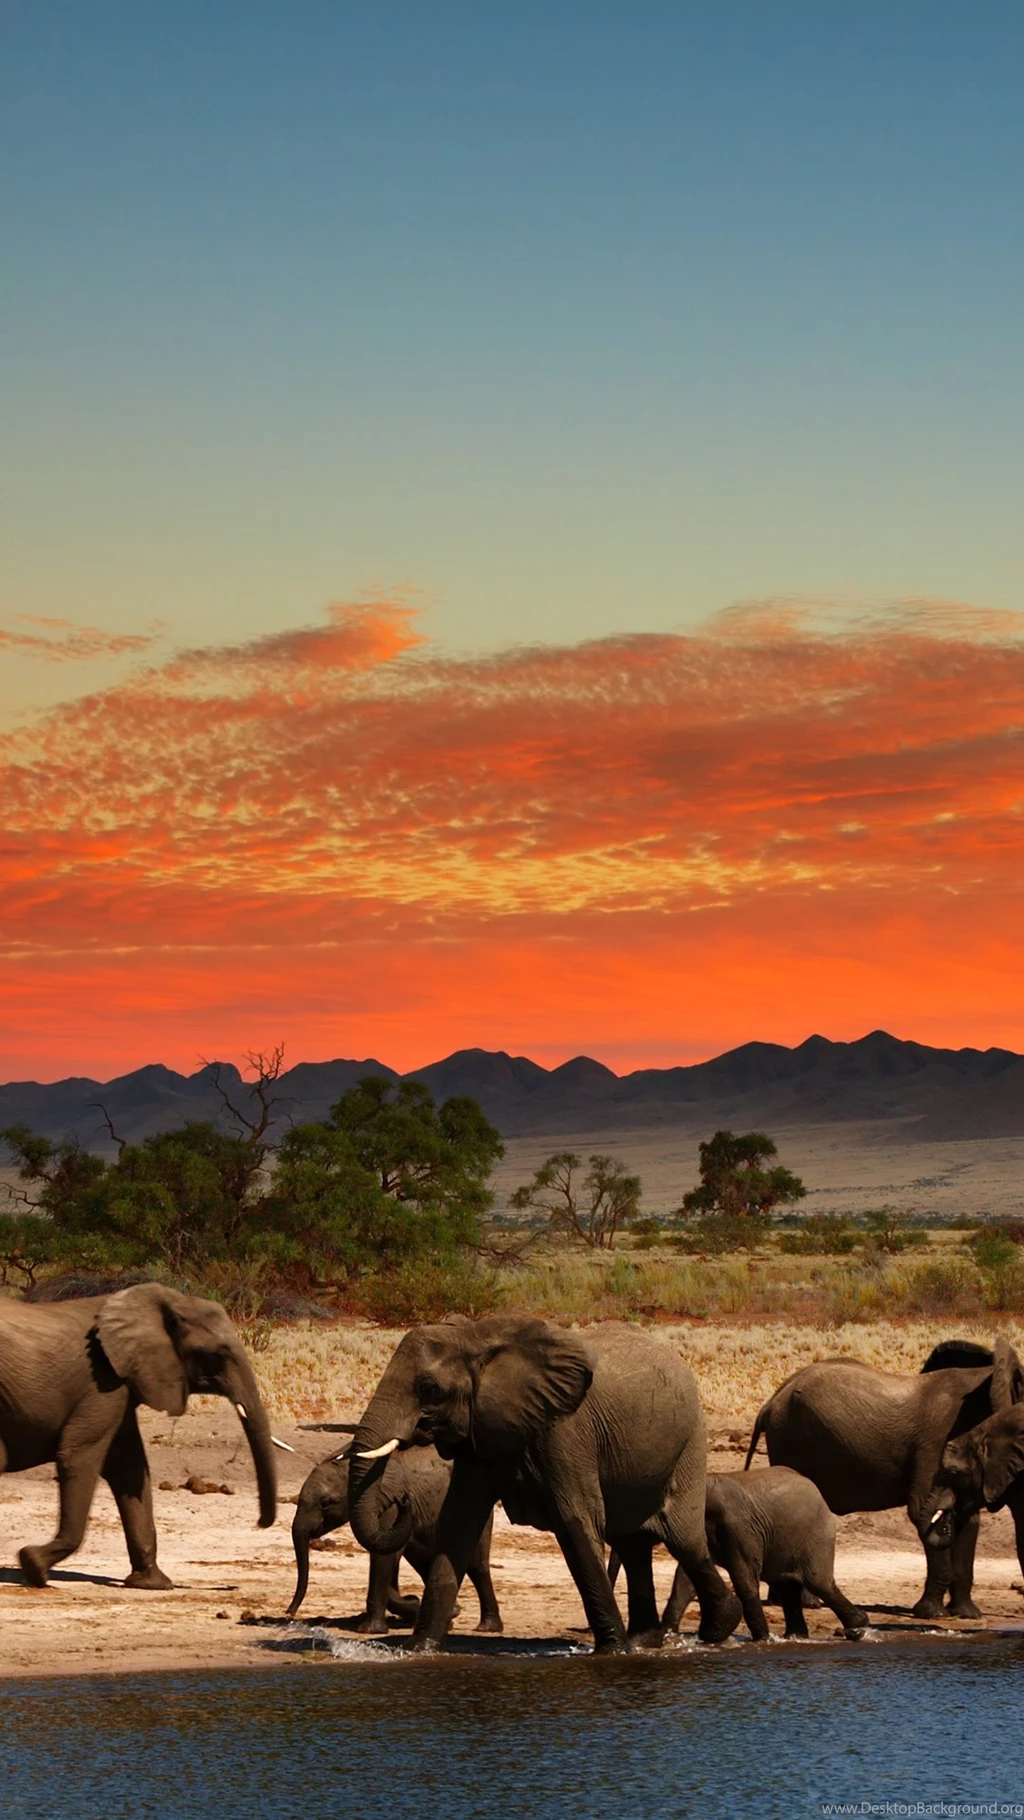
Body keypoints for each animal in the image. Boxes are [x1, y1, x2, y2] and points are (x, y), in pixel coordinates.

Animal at [0, 1282, 277, 1589]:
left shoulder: (122, 1383)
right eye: (217, 1355)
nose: (260, 1523)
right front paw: (33, 1565)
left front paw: (152, 1583)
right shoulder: (102, 1383)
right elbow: (78, 1456)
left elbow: (130, 1469)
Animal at [287, 1442, 503, 1634]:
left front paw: (371, 1630)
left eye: (325, 1503)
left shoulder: (387, 1506)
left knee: (476, 1566)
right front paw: (420, 1606)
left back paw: (486, 1627)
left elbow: (383, 1558)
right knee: (426, 1562)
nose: (290, 1613)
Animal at [346, 1316, 742, 1653]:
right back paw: (646, 1641)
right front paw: (419, 1650)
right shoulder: (480, 1432)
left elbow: (575, 1523)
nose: (401, 1501)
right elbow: (458, 1524)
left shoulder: (565, 1431)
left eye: (429, 1389)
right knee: (634, 1546)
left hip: (690, 1443)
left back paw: (718, 1627)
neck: (477, 1337)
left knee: (684, 1541)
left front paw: (613, 1653)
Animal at [655, 1467, 868, 1641]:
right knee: (788, 1588)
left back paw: (858, 1627)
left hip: (817, 1535)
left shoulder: (738, 1526)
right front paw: (667, 1635)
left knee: (818, 1583)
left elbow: (744, 1577)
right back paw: (796, 1636)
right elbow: (685, 1579)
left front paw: (762, 1640)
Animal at [744, 1336, 1023, 1619]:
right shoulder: (936, 1441)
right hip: (792, 1440)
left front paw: (967, 1615)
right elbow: (922, 1510)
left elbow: (968, 1520)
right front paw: (932, 1614)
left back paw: (784, 1600)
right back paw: (808, 1603)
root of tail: (770, 1403)